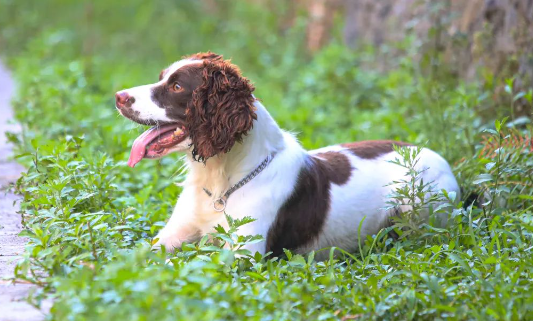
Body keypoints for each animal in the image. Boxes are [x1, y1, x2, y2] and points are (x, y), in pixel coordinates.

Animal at [114, 52, 460, 258]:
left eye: (176, 87)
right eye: (162, 76)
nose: (118, 96)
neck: (221, 180)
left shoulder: (244, 254)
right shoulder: (171, 236)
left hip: (417, 205)